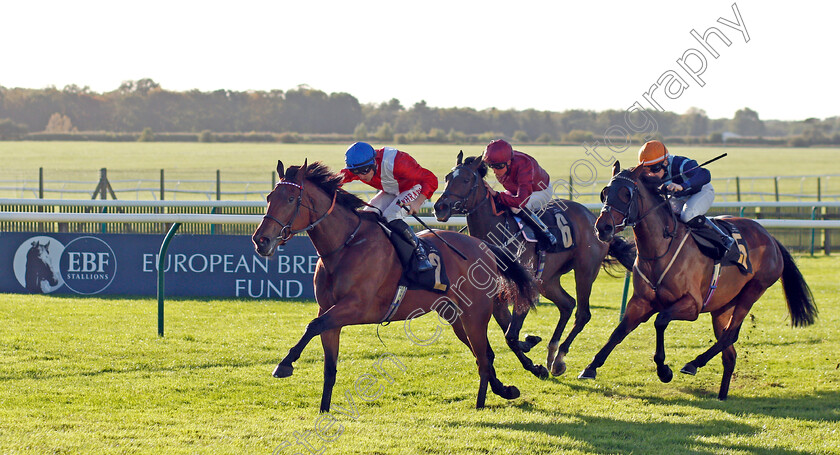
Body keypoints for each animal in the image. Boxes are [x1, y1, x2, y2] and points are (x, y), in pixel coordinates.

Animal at [251, 159, 540, 410]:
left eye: (291, 199)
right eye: (269, 198)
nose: (261, 240)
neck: (346, 244)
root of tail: (484, 246)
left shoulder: (356, 308)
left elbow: (312, 325)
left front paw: (284, 365)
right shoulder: (330, 312)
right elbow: (328, 365)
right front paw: (323, 410)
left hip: (475, 314)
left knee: (484, 356)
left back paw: (482, 402)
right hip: (455, 316)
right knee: (485, 354)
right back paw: (506, 390)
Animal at [434, 153, 636, 378]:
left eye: (466, 179)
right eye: (447, 177)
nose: (439, 207)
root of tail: (594, 218)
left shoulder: (522, 290)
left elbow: (511, 336)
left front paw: (531, 345)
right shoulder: (498, 295)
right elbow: (509, 334)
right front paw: (534, 363)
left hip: (585, 271)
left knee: (582, 313)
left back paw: (560, 359)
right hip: (547, 281)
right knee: (567, 304)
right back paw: (551, 353)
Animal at [580, 163, 816, 400]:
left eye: (627, 194)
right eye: (604, 193)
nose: (603, 228)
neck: (660, 248)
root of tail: (771, 238)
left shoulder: (692, 305)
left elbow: (660, 321)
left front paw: (664, 371)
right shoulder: (640, 303)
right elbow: (619, 332)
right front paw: (590, 367)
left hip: (753, 291)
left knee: (730, 335)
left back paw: (693, 364)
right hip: (721, 307)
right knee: (729, 352)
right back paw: (721, 395)